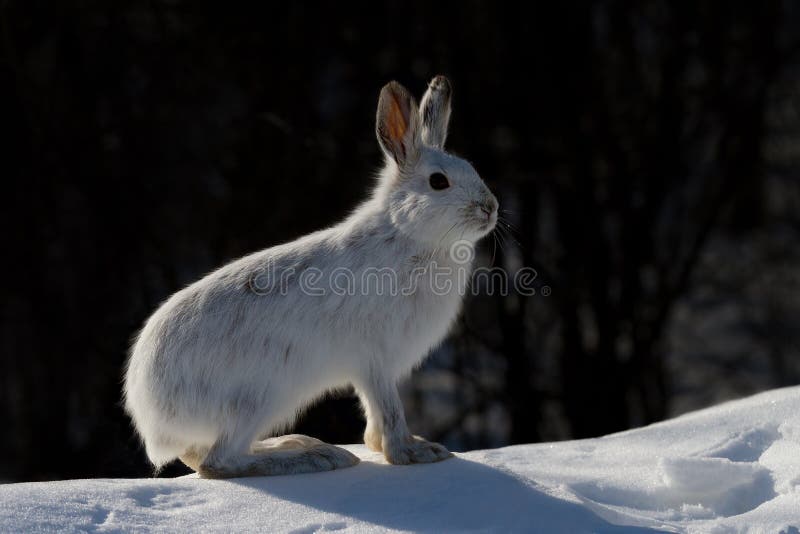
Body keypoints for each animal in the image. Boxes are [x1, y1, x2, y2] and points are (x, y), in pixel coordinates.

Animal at [123, 75, 499, 478]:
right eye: (438, 182)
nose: (490, 208)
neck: (407, 235)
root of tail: (150, 418)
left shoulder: (370, 371)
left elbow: (375, 418)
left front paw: (384, 445)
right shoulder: (375, 360)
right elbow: (390, 411)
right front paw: (415, 453)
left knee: (202, 455)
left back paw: (298, 444)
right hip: (259, 398)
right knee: (218, 461)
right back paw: (314, 457)